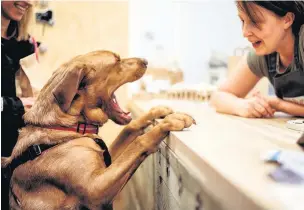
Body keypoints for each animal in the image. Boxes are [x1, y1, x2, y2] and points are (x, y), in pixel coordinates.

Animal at [1, 50, 195, 210]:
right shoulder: (95, 188)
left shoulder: (107, 162)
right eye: (117, 61)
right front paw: (169, 123)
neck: (70, 127)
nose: (146, 60)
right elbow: (139, 143)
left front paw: (158, 111)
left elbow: (130, 127)